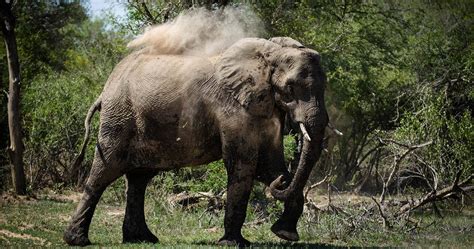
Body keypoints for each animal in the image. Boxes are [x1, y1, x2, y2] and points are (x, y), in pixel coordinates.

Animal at [65, 36, 328, 246]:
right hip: (119, 118)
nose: (280, 182)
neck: (269, 54)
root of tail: (105, 90)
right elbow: (242, 165)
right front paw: (233, 243)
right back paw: (78, 240)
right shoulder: (232, 108)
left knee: (139, 179)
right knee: (104, 172)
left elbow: (268, 165)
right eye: (290, 87)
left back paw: (141, 239)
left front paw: (285, 234)